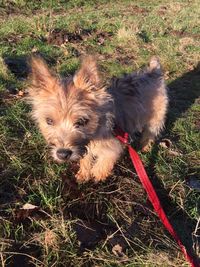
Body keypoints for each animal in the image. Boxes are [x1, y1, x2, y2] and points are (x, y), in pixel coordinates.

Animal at [27, 55, 169, 183]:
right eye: (49, 121)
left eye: (82, 121)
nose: (62, 154)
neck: (96, 131)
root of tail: (153, 72)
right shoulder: (85, 148)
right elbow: (85, 159)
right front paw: (83, 174)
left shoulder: (113, 148)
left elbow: (103, 163)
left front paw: (97, 175)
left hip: (155, 120)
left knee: (150, 134)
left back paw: (145, 147)